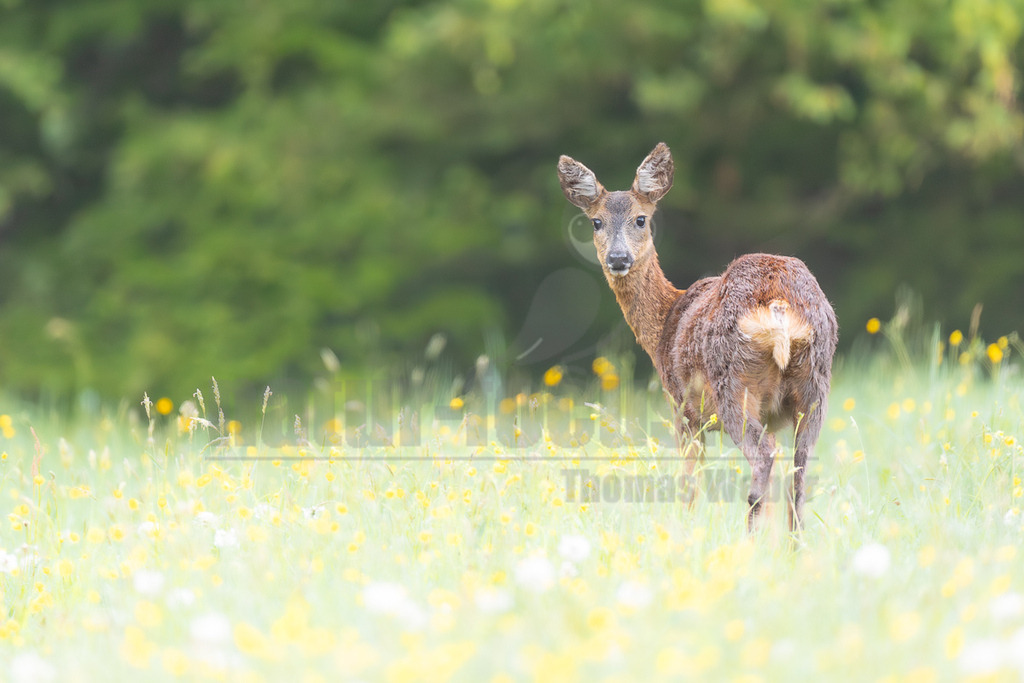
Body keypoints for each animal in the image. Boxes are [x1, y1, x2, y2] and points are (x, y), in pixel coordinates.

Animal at [557, 143, 838, 532]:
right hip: (815, 384)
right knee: (799, 473)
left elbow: (690, 484)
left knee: (764, 456)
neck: (666, 322)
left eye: (641, 219)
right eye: (596, 222)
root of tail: (779, 304)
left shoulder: (682, 408)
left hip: (732, 383)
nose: (618, 257)